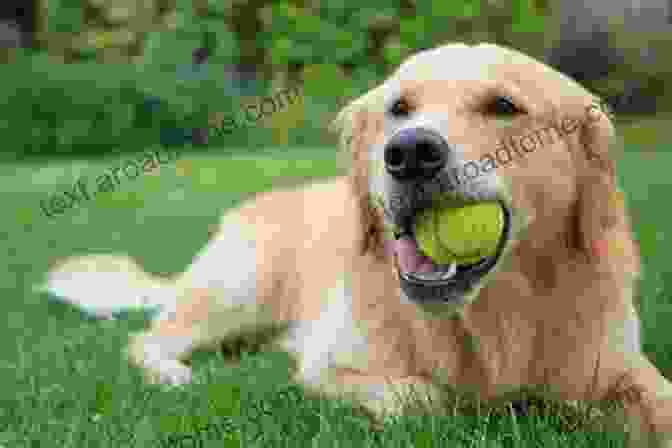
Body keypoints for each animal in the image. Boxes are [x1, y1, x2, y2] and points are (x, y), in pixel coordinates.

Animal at [40, 41, 672, 444]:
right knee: (148, 339)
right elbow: (426, 397)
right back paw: (173, 374)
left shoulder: (622, 367)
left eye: (503, 106)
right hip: (236, 293)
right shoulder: (330, 367)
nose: (410, 151)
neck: (491, 317)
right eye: (399, 108)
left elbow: (658, 400)